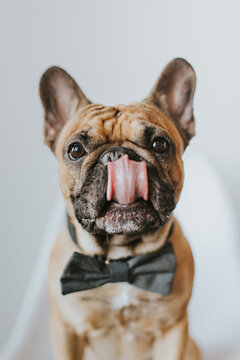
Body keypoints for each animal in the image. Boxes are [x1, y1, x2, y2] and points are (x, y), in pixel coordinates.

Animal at [40, 57, 202, 358]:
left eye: (160, 144)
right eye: (75, 150)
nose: (118, 155)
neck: (120, 259)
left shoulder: (173, 329)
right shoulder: (66, 329)